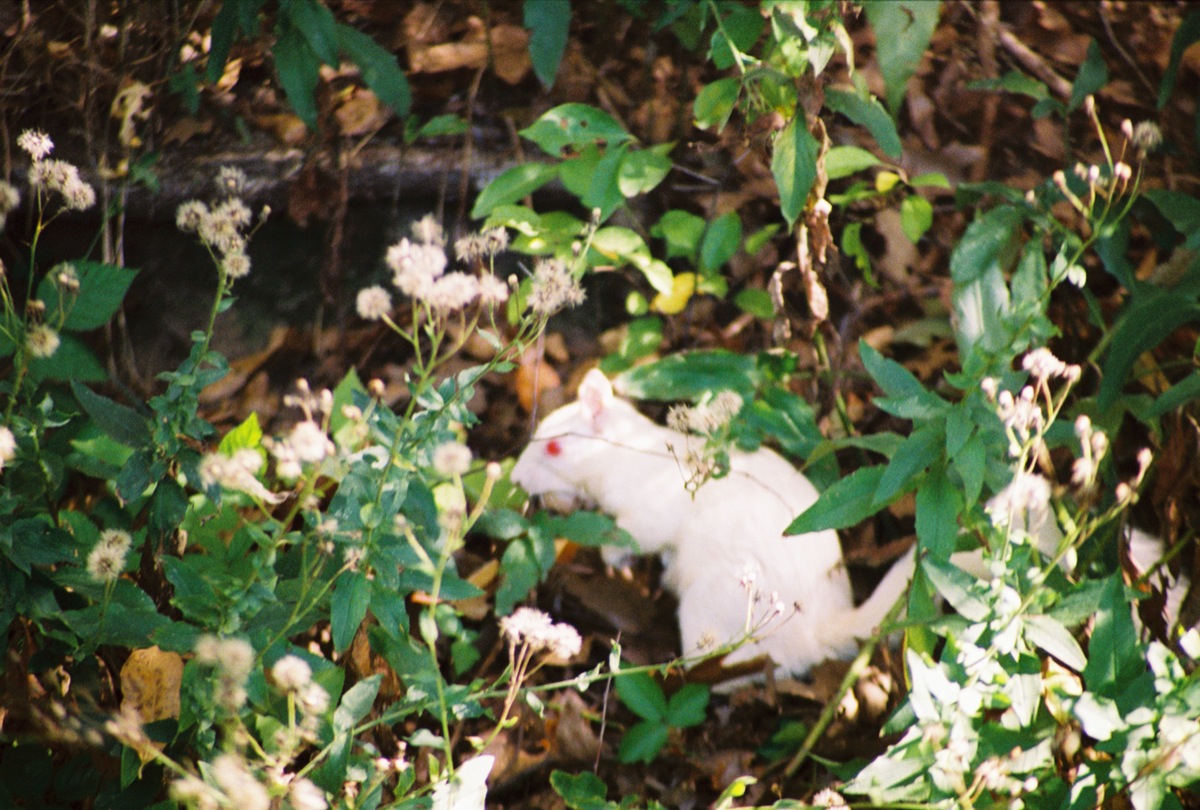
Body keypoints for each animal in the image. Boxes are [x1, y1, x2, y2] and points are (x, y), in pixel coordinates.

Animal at [508, 369, 916, 676]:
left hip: (712, 607)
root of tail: (821, 627)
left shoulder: (650, 512)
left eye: (554, 448)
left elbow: (632, 535)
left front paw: (612, 557)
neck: (630, 453)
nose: (515, 477)